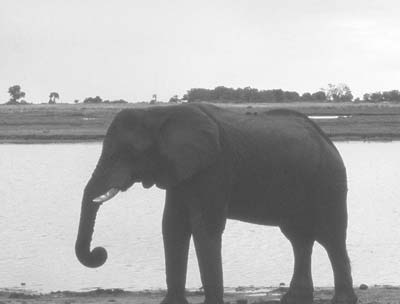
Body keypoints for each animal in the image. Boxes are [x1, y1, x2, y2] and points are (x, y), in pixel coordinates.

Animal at [76, 102, 358, 304]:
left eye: (127, 152)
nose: (100, 252)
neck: (160, 113)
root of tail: (328, 140)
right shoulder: (180, 170)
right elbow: (173, 226)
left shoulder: (215, 167)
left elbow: (204, 227)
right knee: (299, 239)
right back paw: (294, 298)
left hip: (328, 181)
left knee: (330, 237)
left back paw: (342, 300)